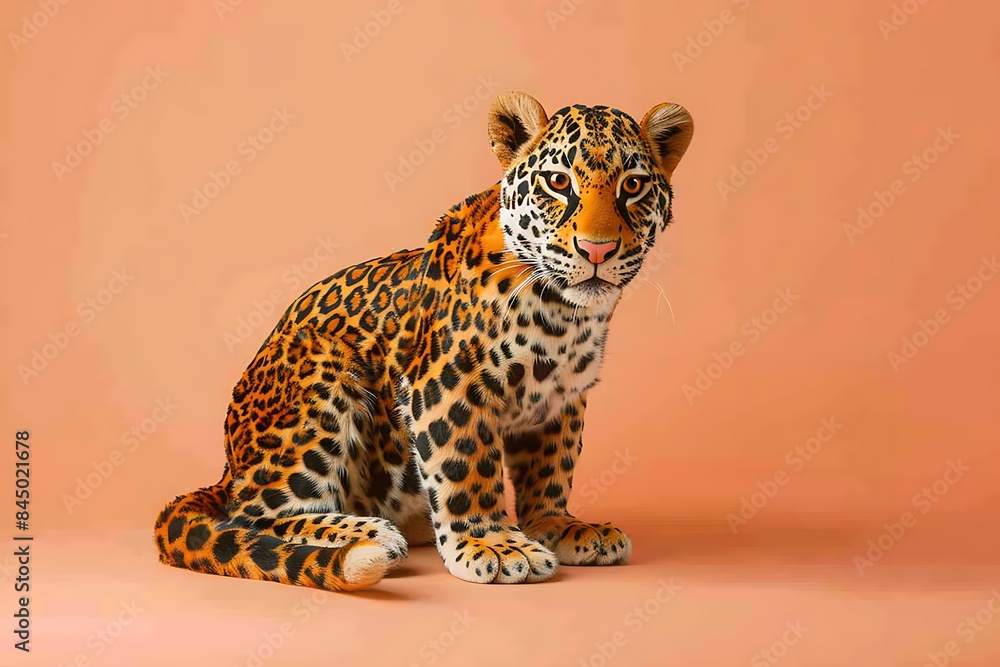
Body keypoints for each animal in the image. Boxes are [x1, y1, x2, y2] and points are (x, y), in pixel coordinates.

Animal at [154, 92, 694, 590]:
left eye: (633, 186)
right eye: (559, 183)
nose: (597, 250)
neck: (565, 317)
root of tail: (230, 467)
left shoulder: (562, 400)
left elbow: (551, 468)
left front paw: (557, 526)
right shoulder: (449, 383)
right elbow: (466, 466)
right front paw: (493, 544)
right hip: (321, 369)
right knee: (255, 516)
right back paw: (369, 533)